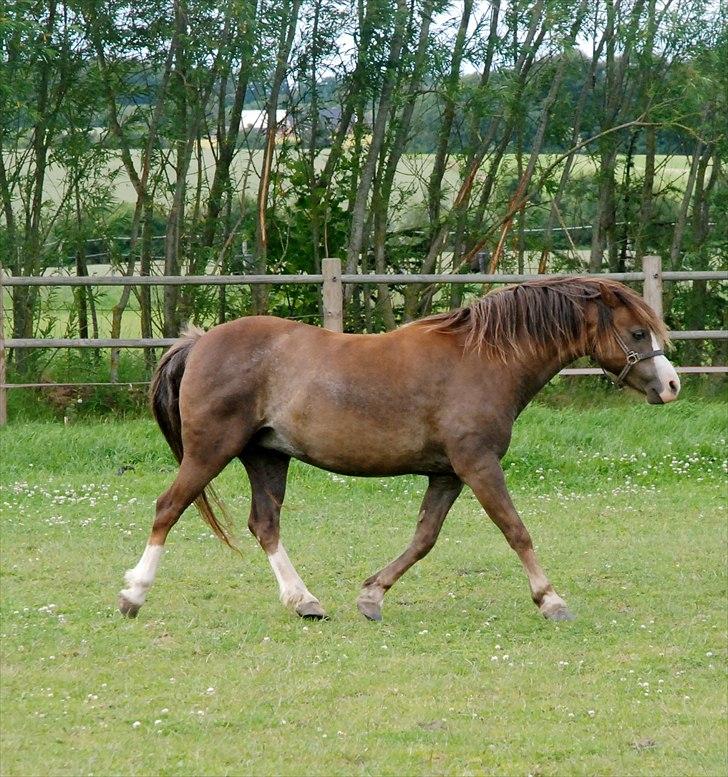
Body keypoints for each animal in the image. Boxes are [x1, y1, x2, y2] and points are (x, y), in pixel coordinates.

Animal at [116, 276, 680, 620]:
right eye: (636, 332)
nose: (671, 386)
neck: (484, 360)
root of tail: (200, 342)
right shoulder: (478, 465)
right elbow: (516, 530)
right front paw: (551, 600)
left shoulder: (448, 473)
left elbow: (424, 538)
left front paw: (372, 595)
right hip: (210, 451)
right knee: (168, 508)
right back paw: (133, 594)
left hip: (266, 456)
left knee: (264, 524)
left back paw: (304, 601)